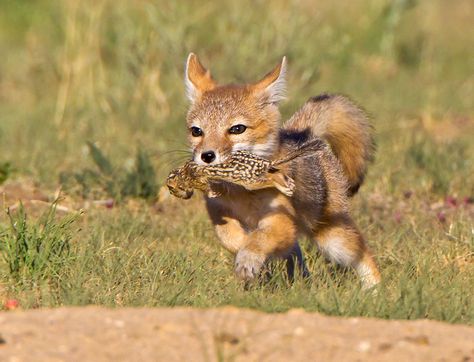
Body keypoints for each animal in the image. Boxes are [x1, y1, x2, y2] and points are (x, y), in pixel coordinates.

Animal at [183, 53, 380, 288]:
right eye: (196, 131)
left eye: (237, 129)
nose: (207, 156)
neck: (241, 194)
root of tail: (303, 134)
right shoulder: (219, 212)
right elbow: (230, 238)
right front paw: (249, 259)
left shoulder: (280, 220)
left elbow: (259, 240)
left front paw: (249, 258)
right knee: (294, 250)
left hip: (334, 240)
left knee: (365, 255)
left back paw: (375, 291)